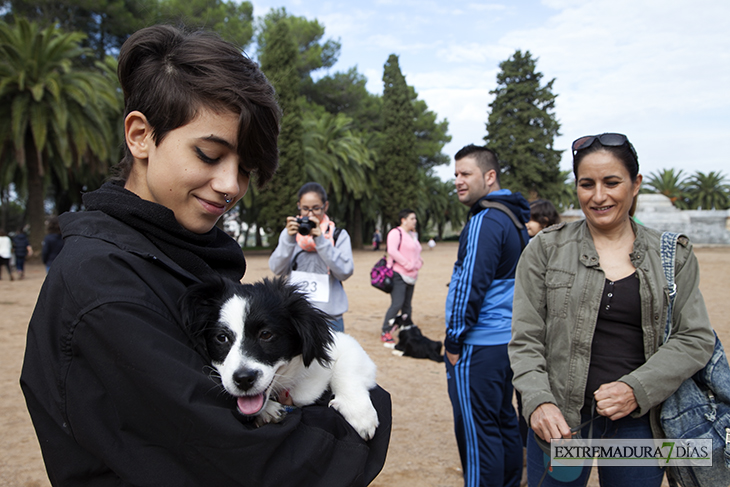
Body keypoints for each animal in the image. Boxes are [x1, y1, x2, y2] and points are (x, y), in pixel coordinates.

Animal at [180, 278, 378, 442]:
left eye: (266, 334)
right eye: (222, 337)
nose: (243, 379)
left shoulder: (346, 344)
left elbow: (347, 368)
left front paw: (360, 413)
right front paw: (268, 410)